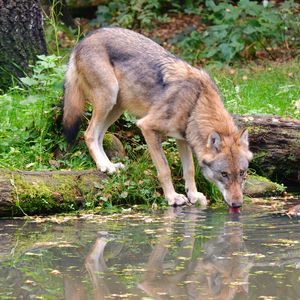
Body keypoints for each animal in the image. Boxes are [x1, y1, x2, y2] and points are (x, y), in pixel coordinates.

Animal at [63, 27, 253, 207]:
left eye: (242, 173)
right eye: (224, 174)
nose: (237, 204)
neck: (195, 103)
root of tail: (83, 40)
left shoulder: (182, 138)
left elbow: (189, 170)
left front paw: (193, 195)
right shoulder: (147, 127)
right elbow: (164, 169)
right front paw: (173, 198)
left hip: (116, 107)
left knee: (99, 136)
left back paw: (109, 165)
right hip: (109, 97)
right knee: (89, 134)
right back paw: (104, 166)